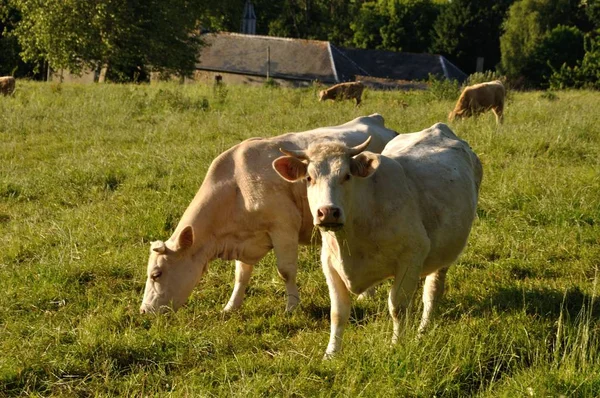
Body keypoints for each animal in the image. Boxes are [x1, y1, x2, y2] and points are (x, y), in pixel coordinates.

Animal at [138, 113, 396, 316]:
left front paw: (292, 307)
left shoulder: (283, 229)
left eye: (156, 274)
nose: (144, 311)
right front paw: (231, 306)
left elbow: (286, 271)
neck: (237, 185)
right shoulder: (244, 237)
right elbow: (241, 275)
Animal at [274, 122, 482, 358]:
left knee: (432, 292)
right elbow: (338, 313)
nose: (327, 212)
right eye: (309, 178)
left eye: (347, 175)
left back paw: (423, 330)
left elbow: (398, 307)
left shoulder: (411, 257)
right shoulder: (329, 264)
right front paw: (331, 353)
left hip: (444, 255)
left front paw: (396, 344)